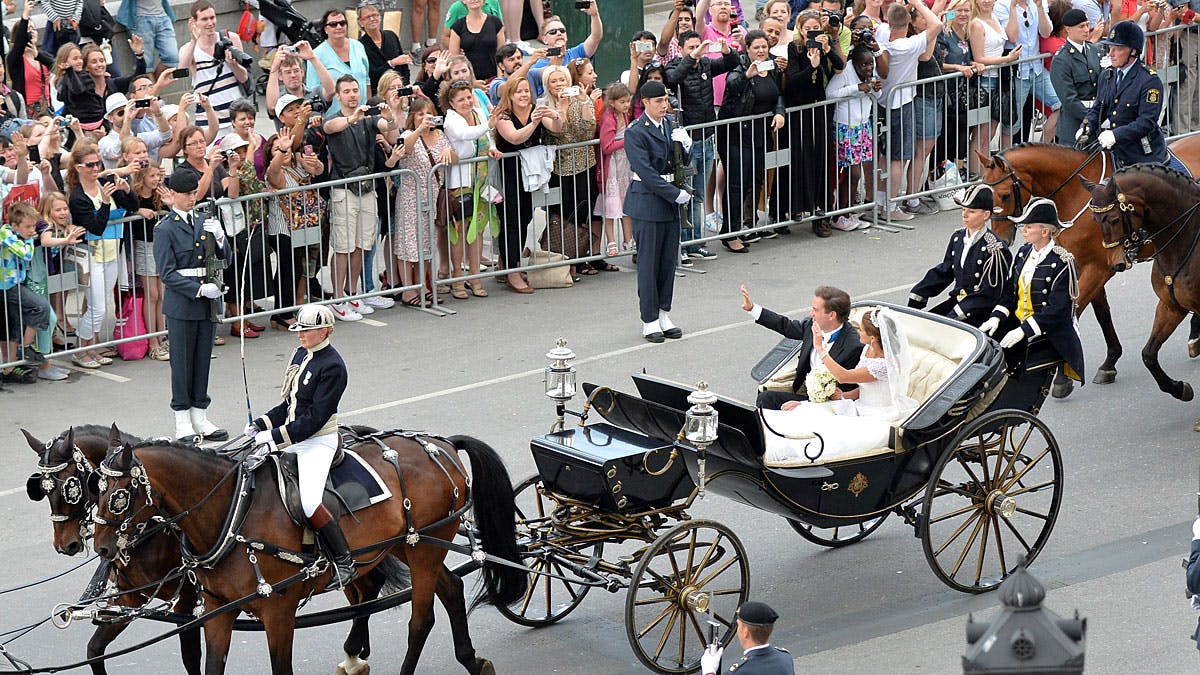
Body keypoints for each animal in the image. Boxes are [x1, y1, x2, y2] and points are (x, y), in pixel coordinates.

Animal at [22, 422, 408, 672]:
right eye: (42, 488)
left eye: (72, 485)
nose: (66, 544)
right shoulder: (132, 599)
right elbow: (95, 649)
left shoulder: (187, 601)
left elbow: (190, 657)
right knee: (366, 589)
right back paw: (356, 650)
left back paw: (354, 651)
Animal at [90, 427, 525, 667]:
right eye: (95, 484)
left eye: (119, 496)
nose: (102, 548)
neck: (232, 511)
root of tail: (441, 443)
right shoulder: (217, 610)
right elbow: (212, 664)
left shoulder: (278, 612)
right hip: (409, 545)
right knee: (450, 590)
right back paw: (469, 659)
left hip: (423, 550)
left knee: (421, 620)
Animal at [979, 137, 1200, 398]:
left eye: (1004, 196)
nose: (1001, 238)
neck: (1073, 194)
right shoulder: (1081, 266)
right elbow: (1102, 313)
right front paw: (1110, 362)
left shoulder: (1099, 268)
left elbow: (1075, 312)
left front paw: (1062, 376)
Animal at [1080, 163, 1200, 425]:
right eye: (1094, 220)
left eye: (1114, 218)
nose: (1115, 263)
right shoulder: (1170, 307)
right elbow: (1148, 355)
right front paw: (1180, 389)